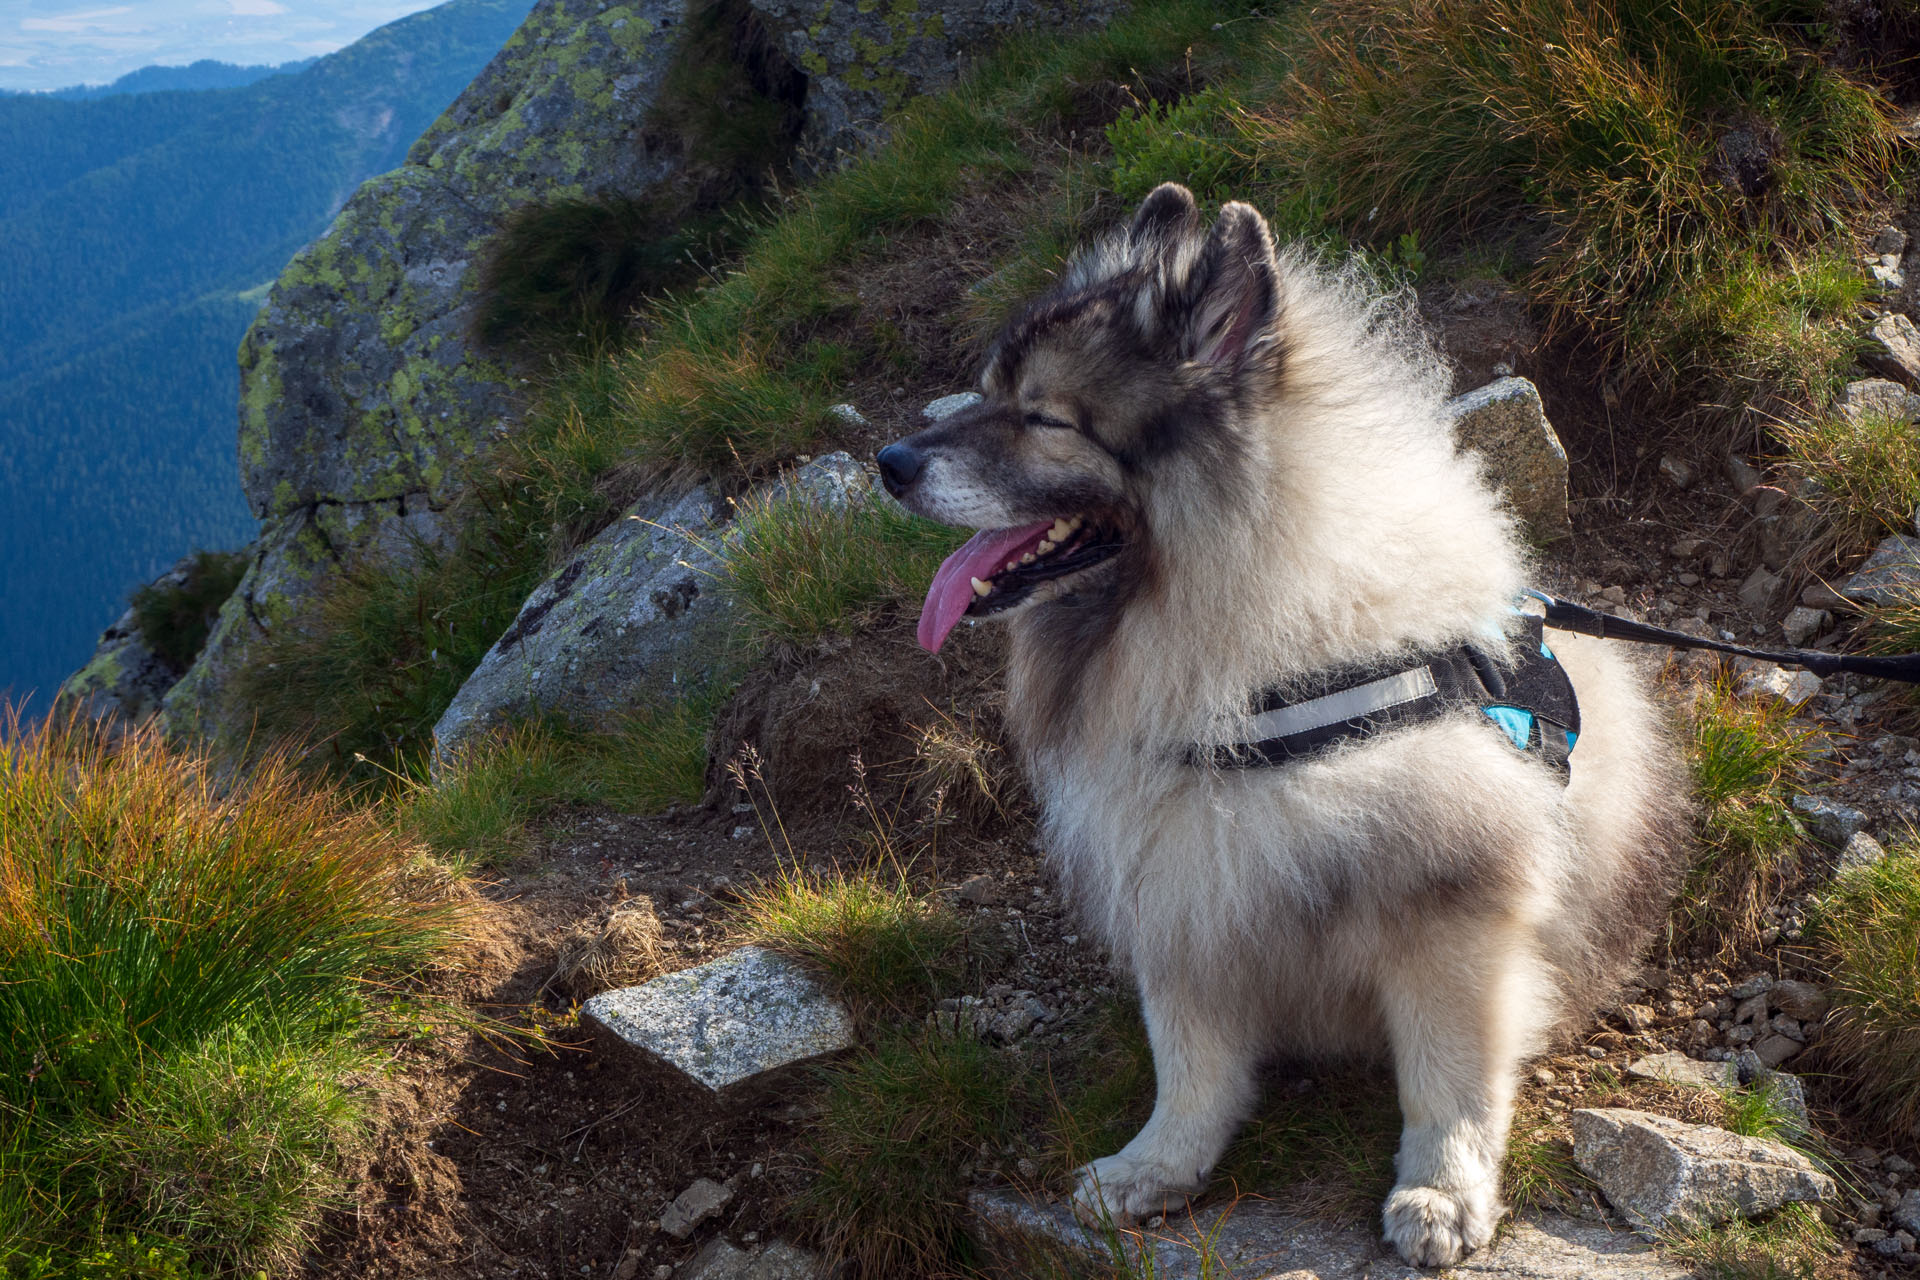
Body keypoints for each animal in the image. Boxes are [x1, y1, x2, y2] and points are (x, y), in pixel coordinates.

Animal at [871, 185, 1681, 1266]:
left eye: (1043, 416)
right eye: (985, 393)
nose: (888, 462)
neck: (1250, 668)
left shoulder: (1448, 902)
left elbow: (1449, 1077)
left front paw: (1441, 1193)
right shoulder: (1184, 893)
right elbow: (1192, 1064)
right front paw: (1155, 1167)